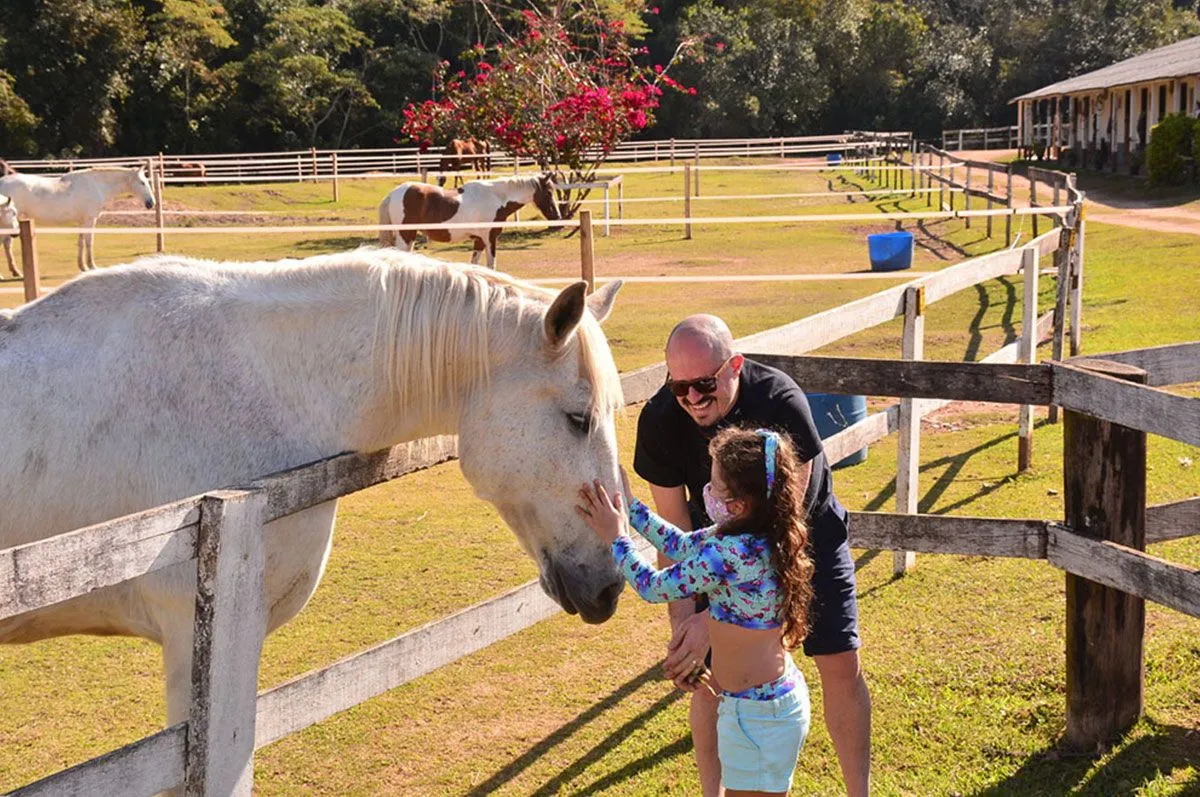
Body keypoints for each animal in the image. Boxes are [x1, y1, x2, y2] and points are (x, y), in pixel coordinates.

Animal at [0, 164, 155, 272]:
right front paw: (92, 266)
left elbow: (80, 242)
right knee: (7, 243)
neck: (97, 185)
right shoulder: (90, 220)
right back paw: (16, 271)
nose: (151, 203)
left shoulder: (82, 221)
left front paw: (82, 266)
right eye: (142, 182)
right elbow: (89, 242)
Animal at [377, 174, 561, 269]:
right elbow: (491, 266)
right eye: (548, 192)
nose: (558, 217)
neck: (496, 197)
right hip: (406, 235)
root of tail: (393, 193)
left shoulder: (479, 240)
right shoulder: (490, 239)